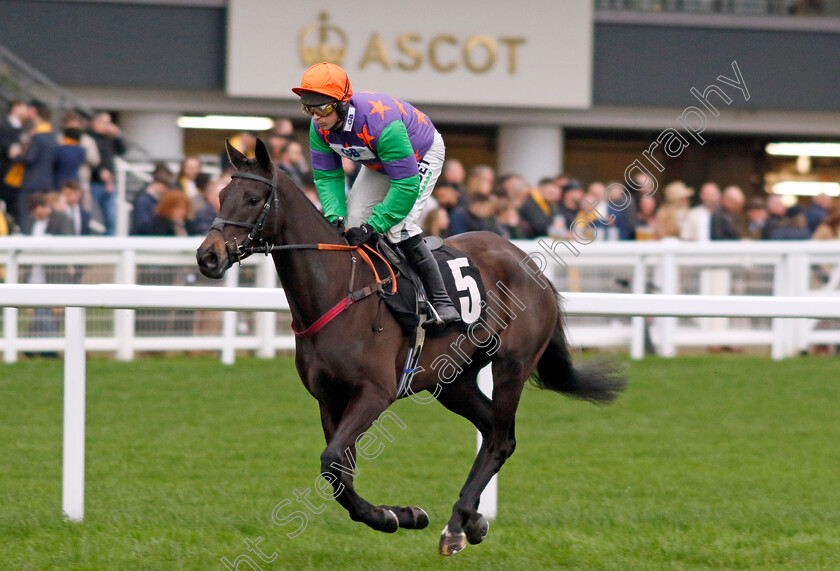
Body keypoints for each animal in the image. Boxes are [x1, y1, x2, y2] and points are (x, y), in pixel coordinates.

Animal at [197, 141, 628, 556]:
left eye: (253, 198)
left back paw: (457, 524)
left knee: (501, 439)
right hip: (452, 380)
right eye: (221, 195)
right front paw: (400, 514)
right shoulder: (329, 397)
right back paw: (470, 520)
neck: (336, 291)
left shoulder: (375, 392)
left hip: (511, 365)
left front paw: (392, 516)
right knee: (493, 430)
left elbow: (332, 461)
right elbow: (339, 474)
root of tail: (529, 263)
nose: (208, 256)